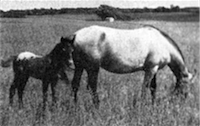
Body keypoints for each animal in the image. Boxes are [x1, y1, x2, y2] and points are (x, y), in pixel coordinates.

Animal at [59, 25, 194, 108]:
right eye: (186, 86)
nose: (179, 104)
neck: (162, 43)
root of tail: (75, 35)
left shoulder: (154, 70)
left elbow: (153, 88)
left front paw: (153, 105)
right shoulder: (151, 69)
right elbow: (145, 88)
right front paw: (142, 106)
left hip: (79, 66)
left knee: (75, 85)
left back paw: (75, 106)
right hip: (92, 68)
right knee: (93, 86)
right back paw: (97, 107)